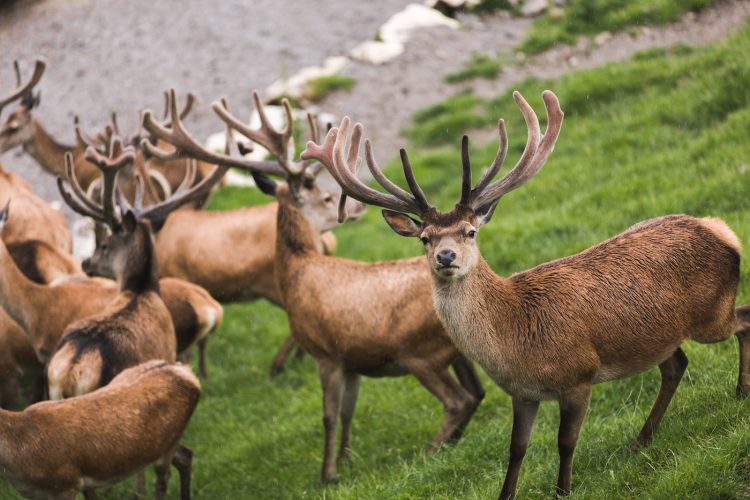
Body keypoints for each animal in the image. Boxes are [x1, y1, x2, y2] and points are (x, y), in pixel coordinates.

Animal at [306, 92, 750, 498]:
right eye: (425, 238)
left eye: (470, 231)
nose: (446, 256)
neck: (517, 341)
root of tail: (720, 230)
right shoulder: (522, 393)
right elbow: (516, 449)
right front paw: (507, 494)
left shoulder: (579, 376)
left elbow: (565, 442)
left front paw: (563, 490)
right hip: (659, 336)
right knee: (676, 364)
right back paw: (641, 440)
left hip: (712, 312)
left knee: (743, 318)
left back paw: (740, 392)